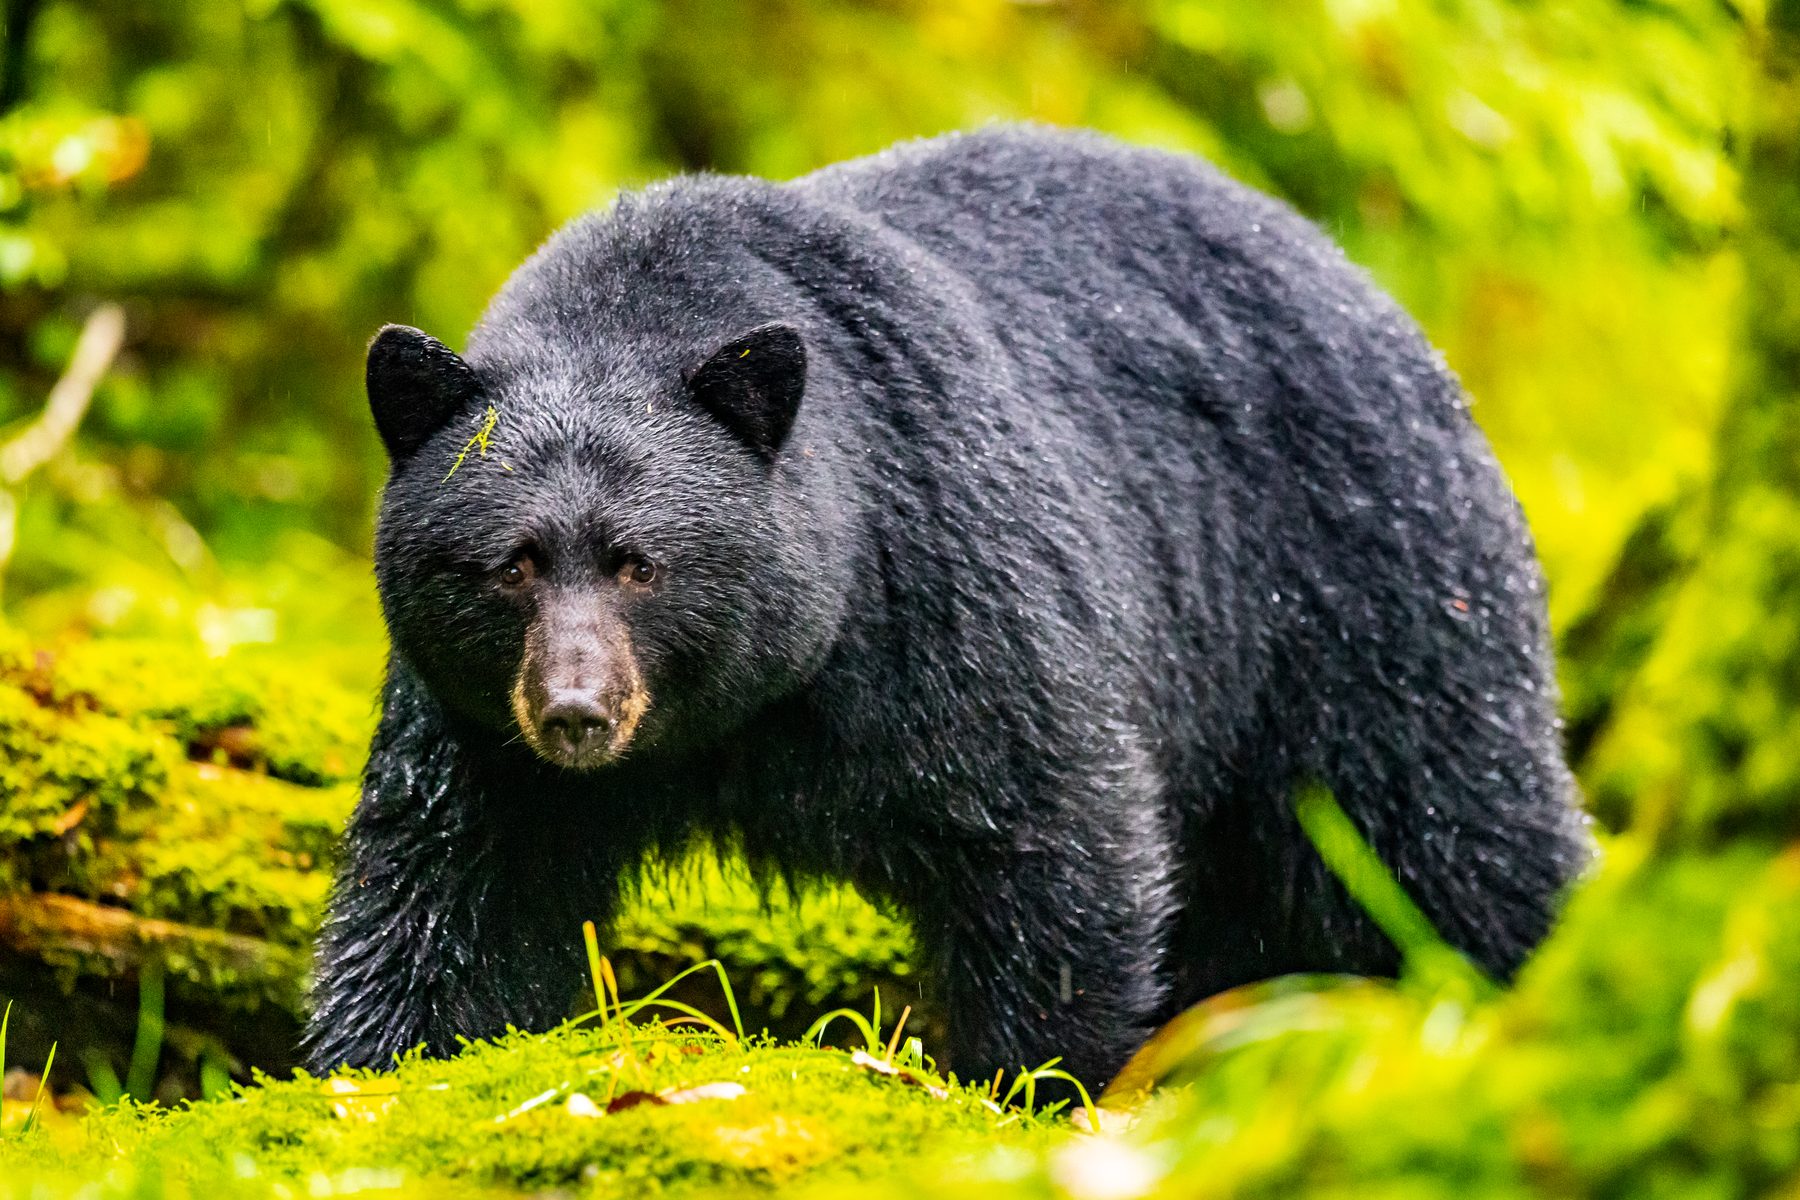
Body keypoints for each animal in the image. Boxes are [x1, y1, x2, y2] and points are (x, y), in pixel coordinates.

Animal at [304, 125, 1592, 1091]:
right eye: (510, 564)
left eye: (640, 564)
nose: (576, 710)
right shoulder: (473, 728)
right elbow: (455, 892)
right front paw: (383, 1064)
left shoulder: (940, 575)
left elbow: (1050, 834)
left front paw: (1032, 1087)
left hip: (1362, 594)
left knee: (1457, 831)